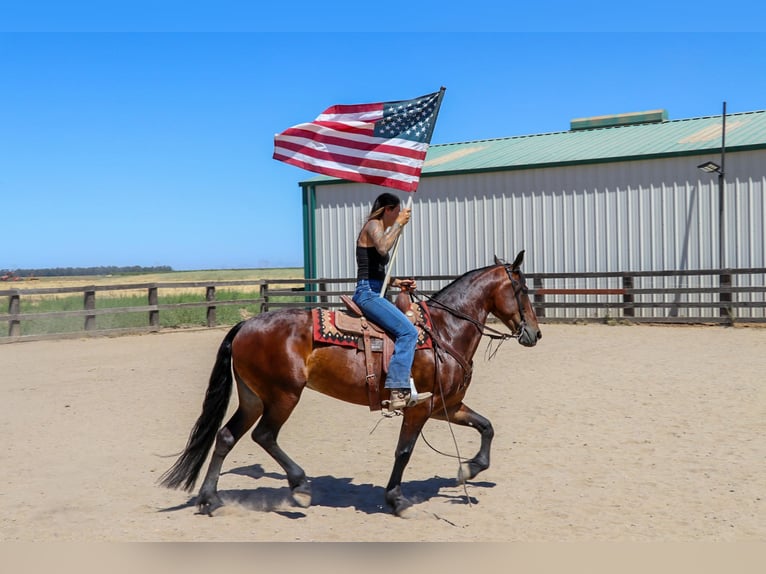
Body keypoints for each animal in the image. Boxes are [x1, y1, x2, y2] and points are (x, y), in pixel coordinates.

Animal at [159, 251, 544, 516]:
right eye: (523, 289)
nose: (535, 334)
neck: (444, 331)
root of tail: (245, 325)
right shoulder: (419, 409)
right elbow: (404, 451)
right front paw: (396, 499)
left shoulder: (445, 406)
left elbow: (486, 426)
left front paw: (469, 469)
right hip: (283, 395)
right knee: (264, 435)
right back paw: (299, 485)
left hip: (253, 396)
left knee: (226, 436)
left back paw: (209, 499)